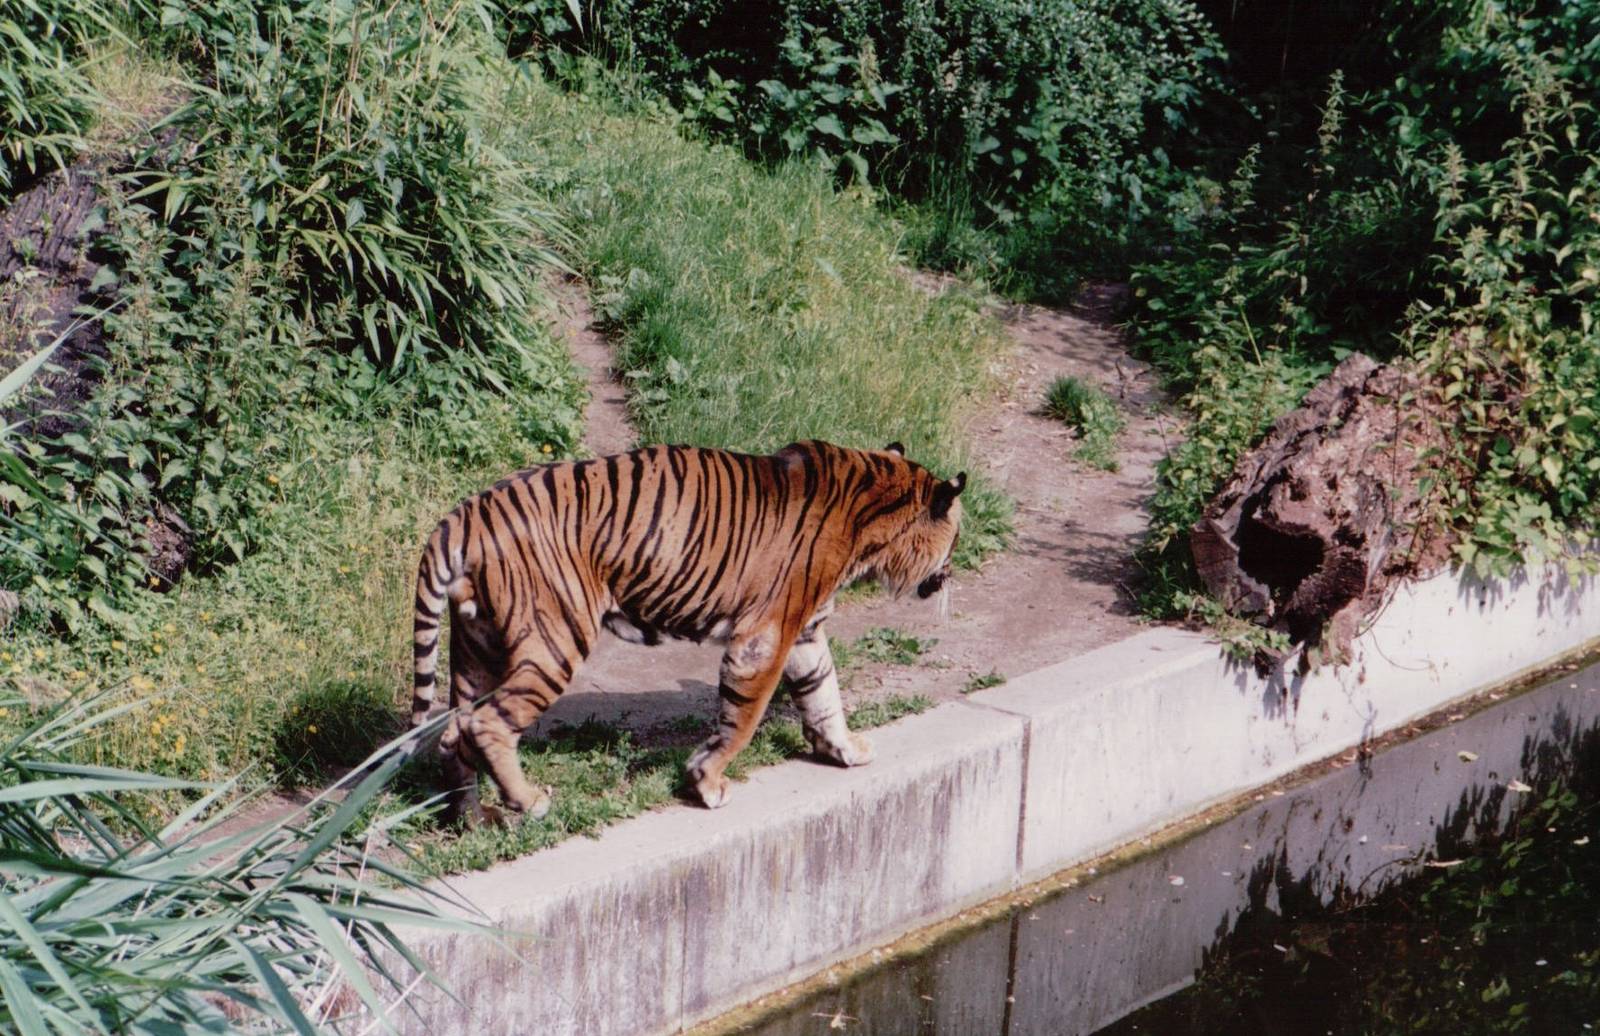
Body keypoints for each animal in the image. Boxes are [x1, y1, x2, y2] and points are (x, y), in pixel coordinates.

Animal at [410, 439, 965, 824]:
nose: (949, 575)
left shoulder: (805, 631)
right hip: (554, 641)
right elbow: (743, 719)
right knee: (487, 725)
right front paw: (707, 782)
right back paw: (530, 802)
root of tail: (465, 516)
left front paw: (845, 749)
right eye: (956, 536)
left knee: (453, 732)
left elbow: (824, 693)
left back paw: (473, 817)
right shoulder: (765, 637)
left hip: (475, 645)